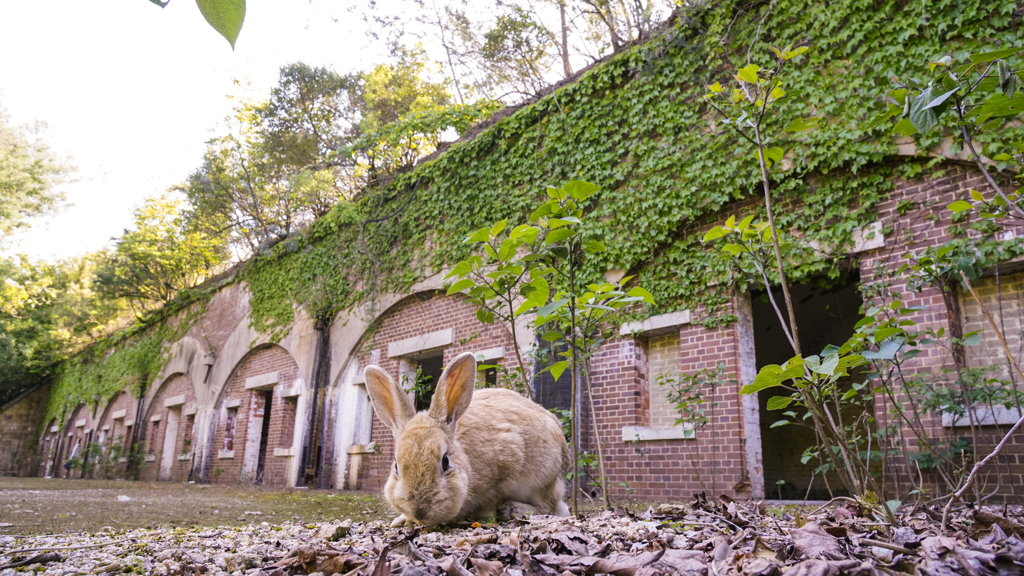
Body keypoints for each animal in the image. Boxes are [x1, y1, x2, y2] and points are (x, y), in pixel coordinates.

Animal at [362, 350, 573, 524]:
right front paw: (402, 520)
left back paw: (514, 509)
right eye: (396, 467)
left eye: (445, 462)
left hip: (545, 478)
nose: (420, 510)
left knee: (549, 507)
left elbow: (492, 499)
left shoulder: (504, 470)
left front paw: (484, 515)